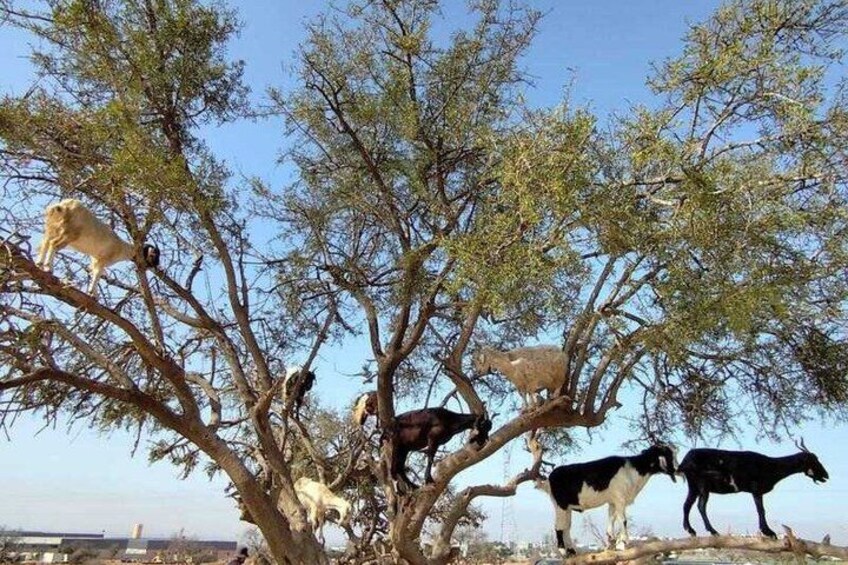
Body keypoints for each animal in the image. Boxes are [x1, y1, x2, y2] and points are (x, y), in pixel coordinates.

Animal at [536, 445, 677, 556]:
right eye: (669, 456)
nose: (676, 469)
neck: (633, 470)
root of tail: (550, 477)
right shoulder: (620, 498)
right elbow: (623, 520)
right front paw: (625, 542)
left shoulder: (613, 501)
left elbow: (612, 519)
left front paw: (611, 542)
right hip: (561, 505)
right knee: (559, 526)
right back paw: (562, 550)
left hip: (566, 507)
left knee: (567, 526)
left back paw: (571, 551)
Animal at [678, 440, 829, 539]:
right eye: (814, 460)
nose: (826, 475)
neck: (771, 465)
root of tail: (685, 461)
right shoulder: (756, 489)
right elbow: (761, 510)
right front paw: (768, 532)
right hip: (701, 484)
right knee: (700, 506)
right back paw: (710, 531)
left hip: (694, 487)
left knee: (688, 505)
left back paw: (692, 530)